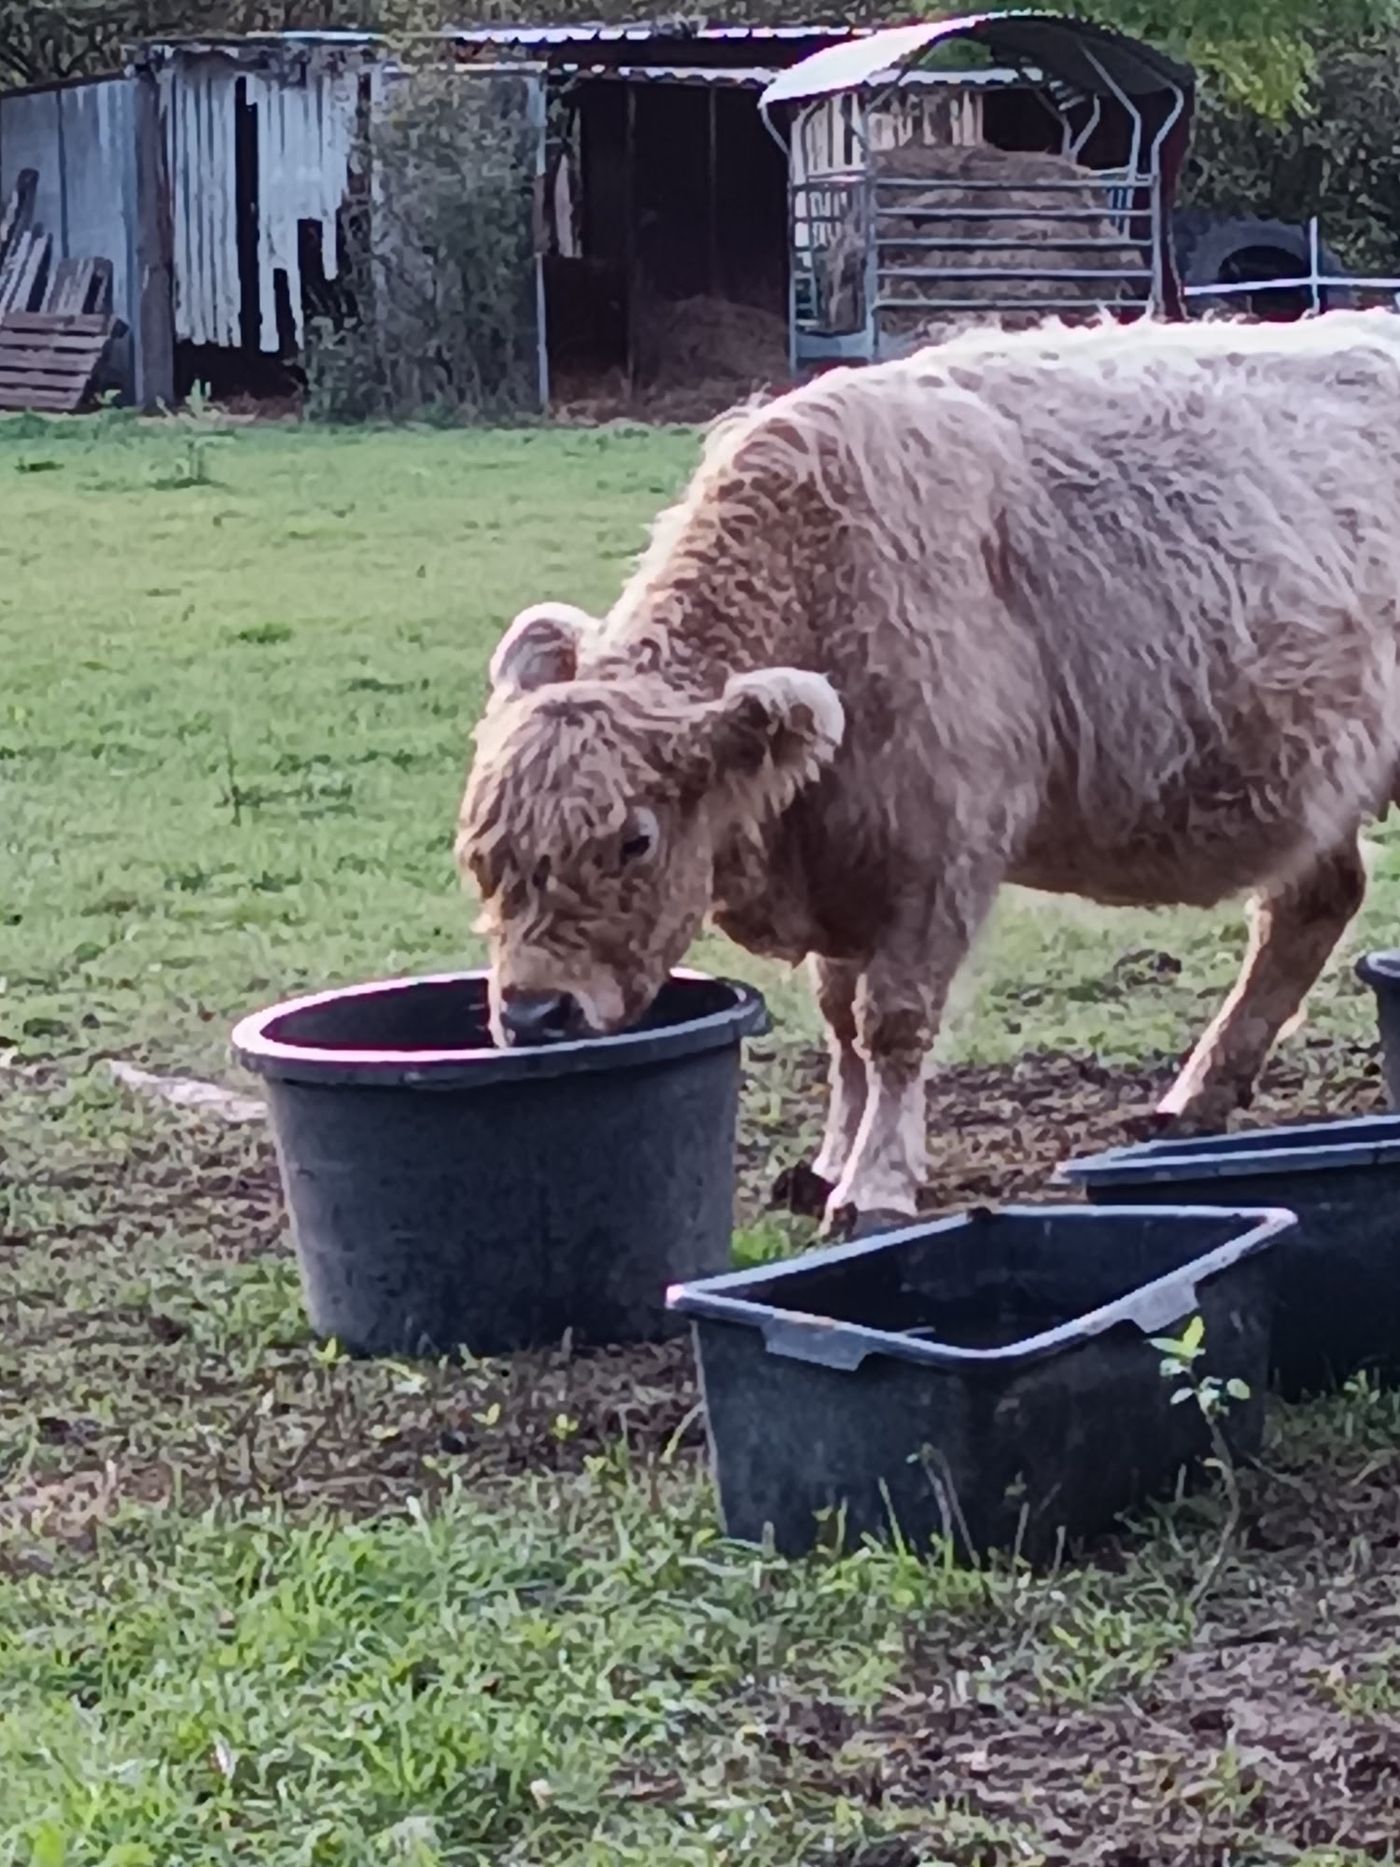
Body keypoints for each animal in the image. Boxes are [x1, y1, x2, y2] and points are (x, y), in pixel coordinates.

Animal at [457, 313, 1400, 1232]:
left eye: (635, 840)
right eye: (481, 859)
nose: (536, 1013)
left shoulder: (938, 856)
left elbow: (892, 1024)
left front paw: (874, 1182)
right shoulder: (844, 870)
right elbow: (841, 1025)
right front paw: (828, 1161)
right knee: (1313, 903)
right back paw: (1197, 1095)